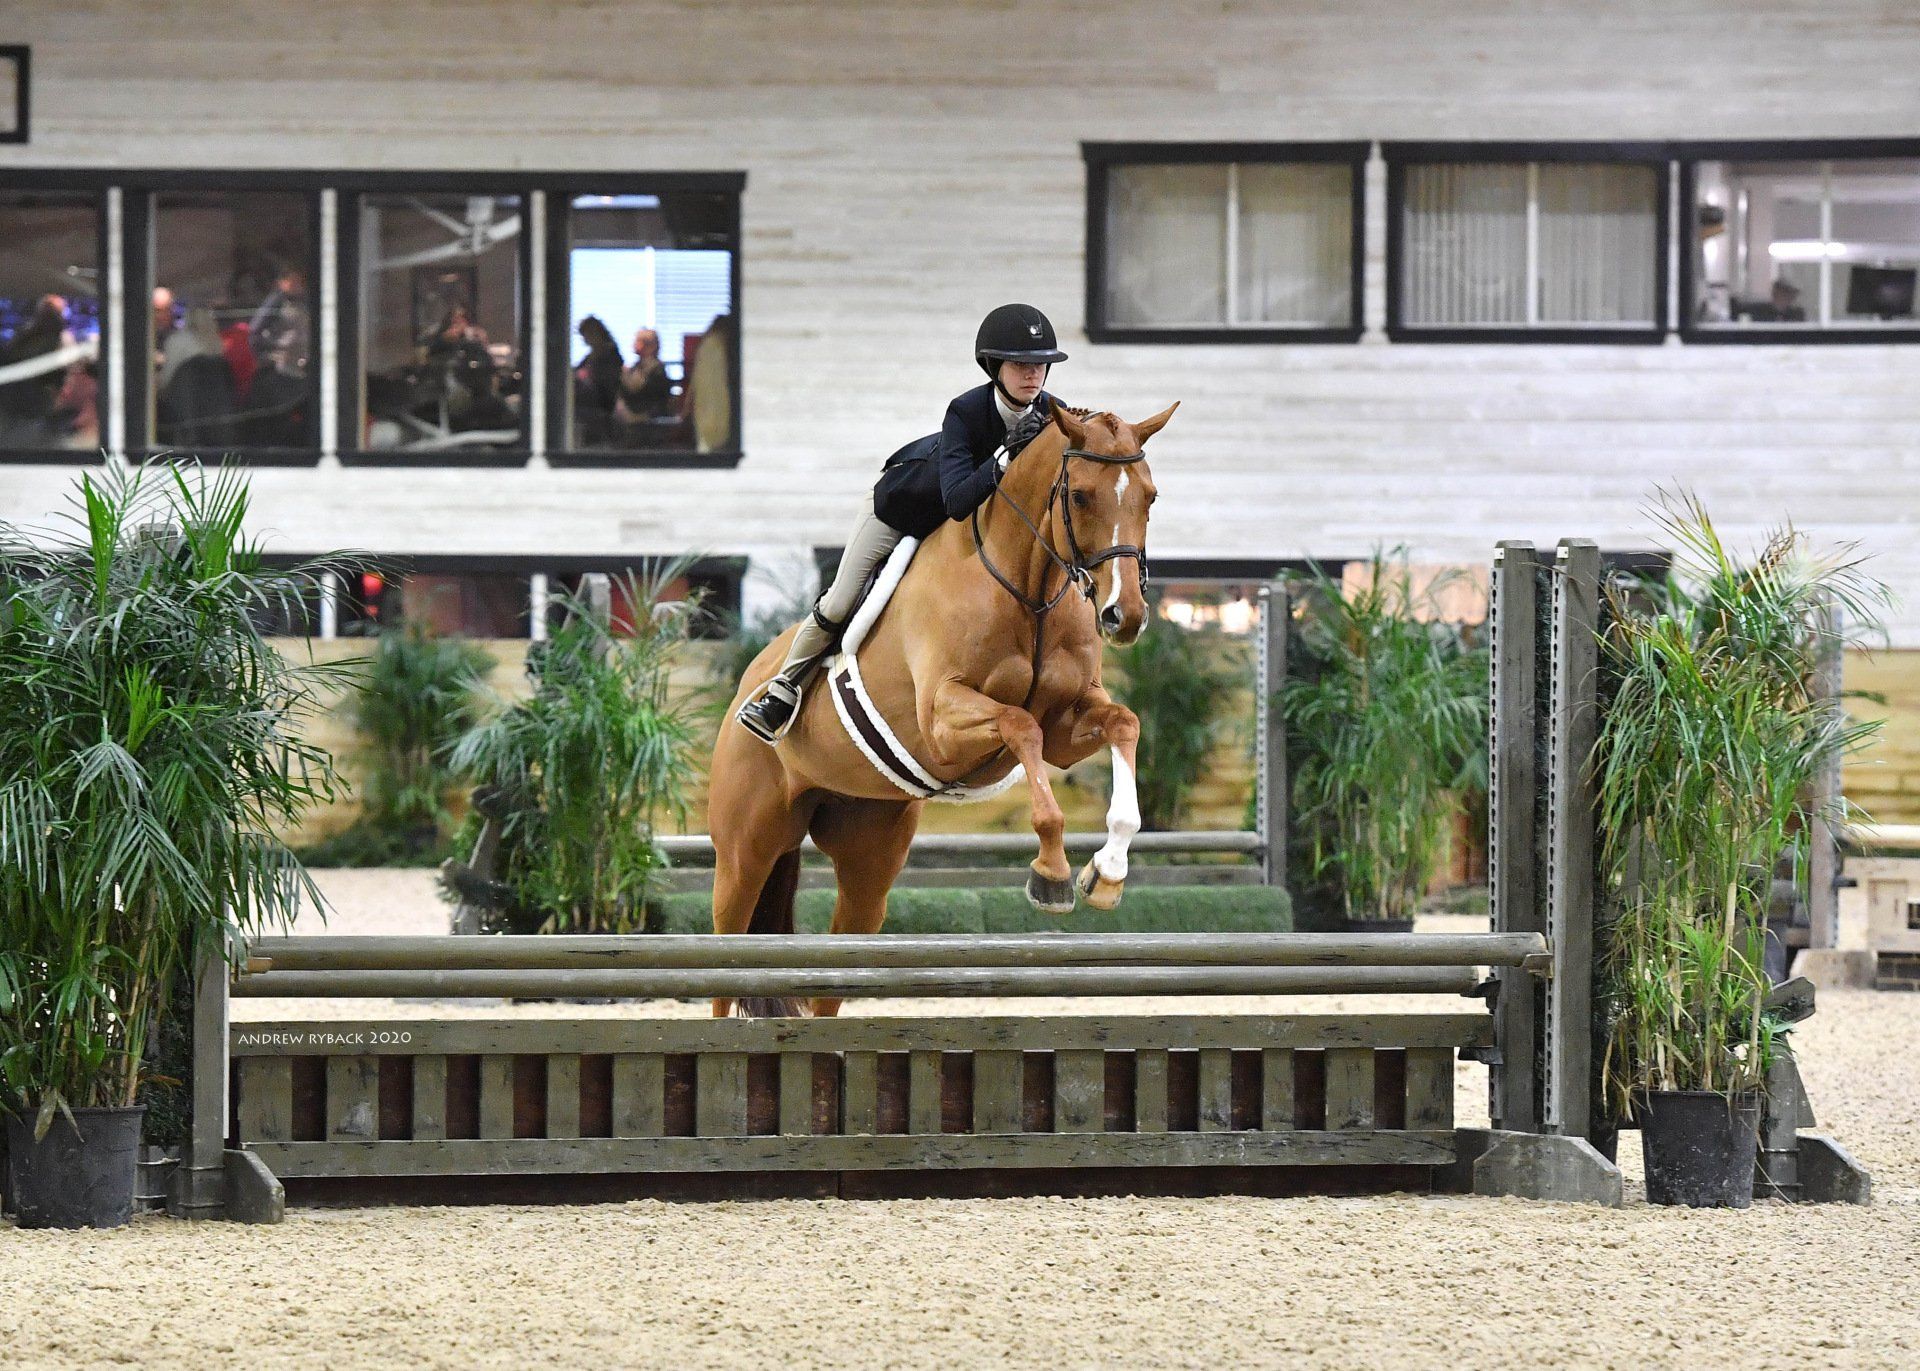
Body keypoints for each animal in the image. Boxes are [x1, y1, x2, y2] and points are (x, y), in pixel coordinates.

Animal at [707, 401, 1177, 1016]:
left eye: (1150, 496)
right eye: (1079, 496)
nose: (1126, 616)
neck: (1027, 586)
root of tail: (748, 683)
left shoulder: (1065, 725)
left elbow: (1122, 722)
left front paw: (1108, 871)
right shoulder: (943, 723)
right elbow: (1019, 725)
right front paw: (1051, 873)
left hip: (867, 853)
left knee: (839, 960)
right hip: (744, 855)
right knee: (726, 960)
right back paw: (771, 706)